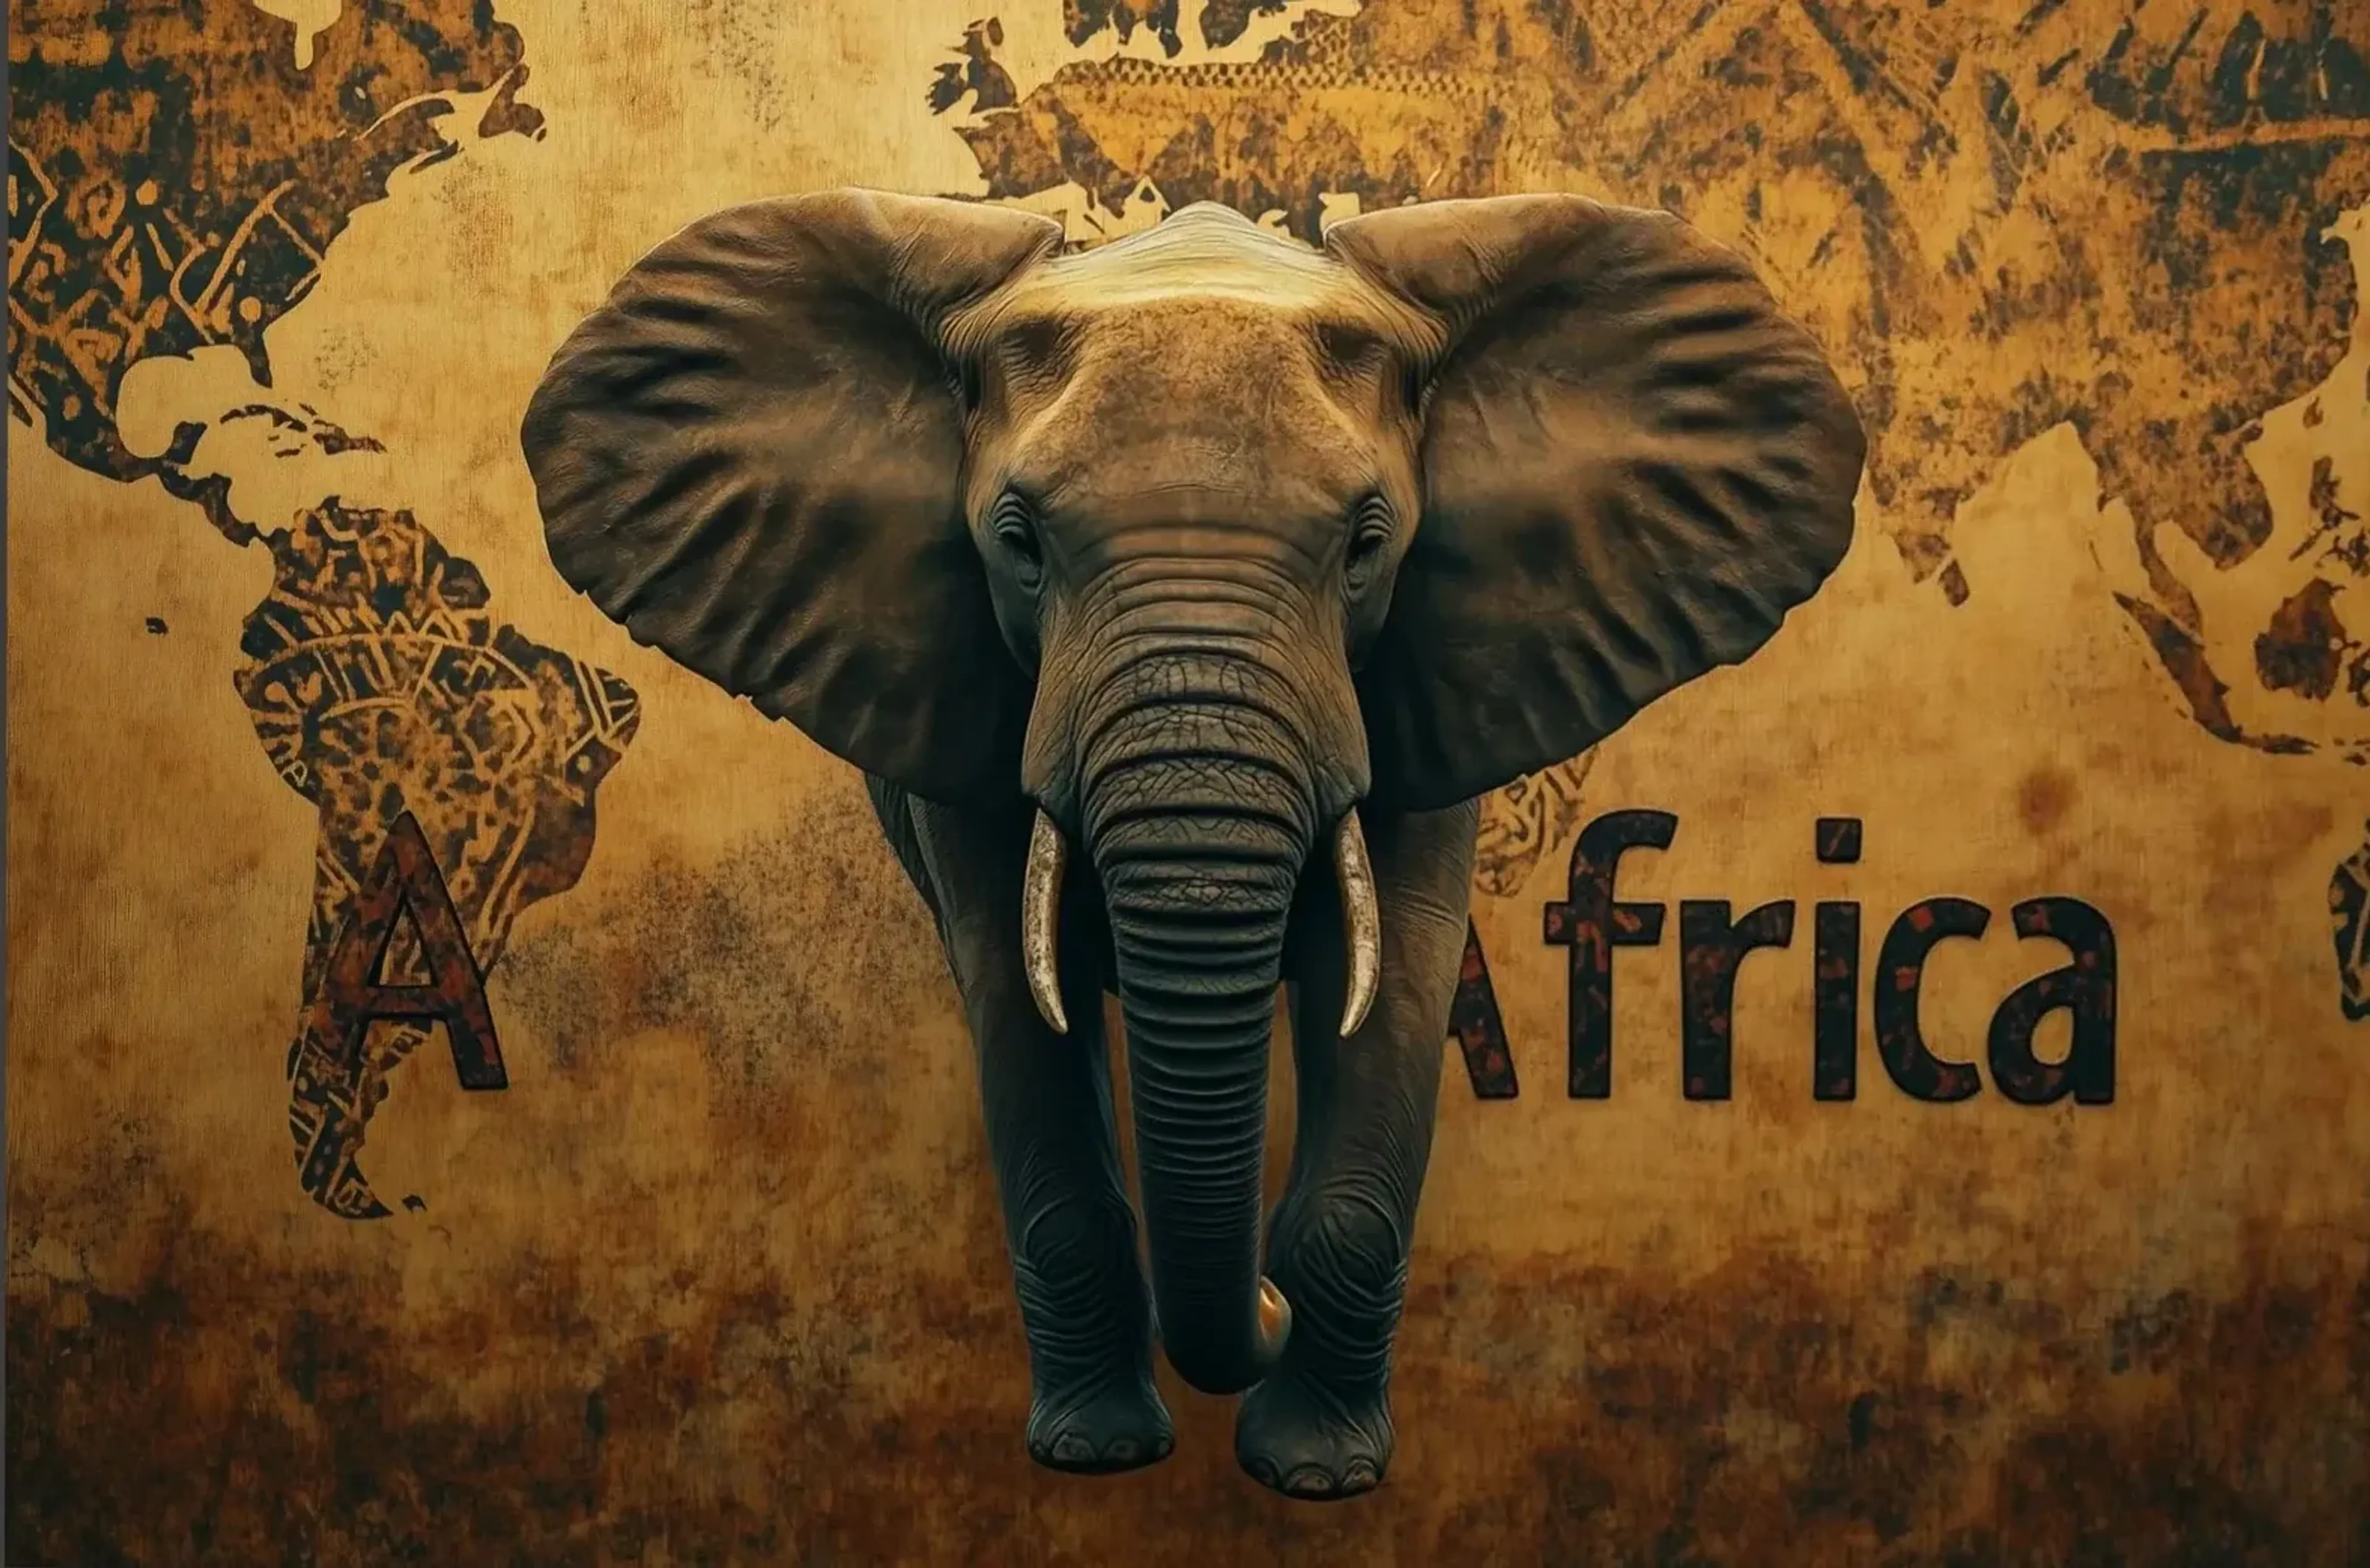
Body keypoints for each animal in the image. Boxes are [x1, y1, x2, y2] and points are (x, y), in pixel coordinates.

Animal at [517, 187, 1866, 1499]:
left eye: (1369, 543)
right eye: (1018, 542)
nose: (1260, 1293)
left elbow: (1393, 984)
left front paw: (1319, 1475)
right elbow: (1017, 999)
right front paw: (1100, 1456)